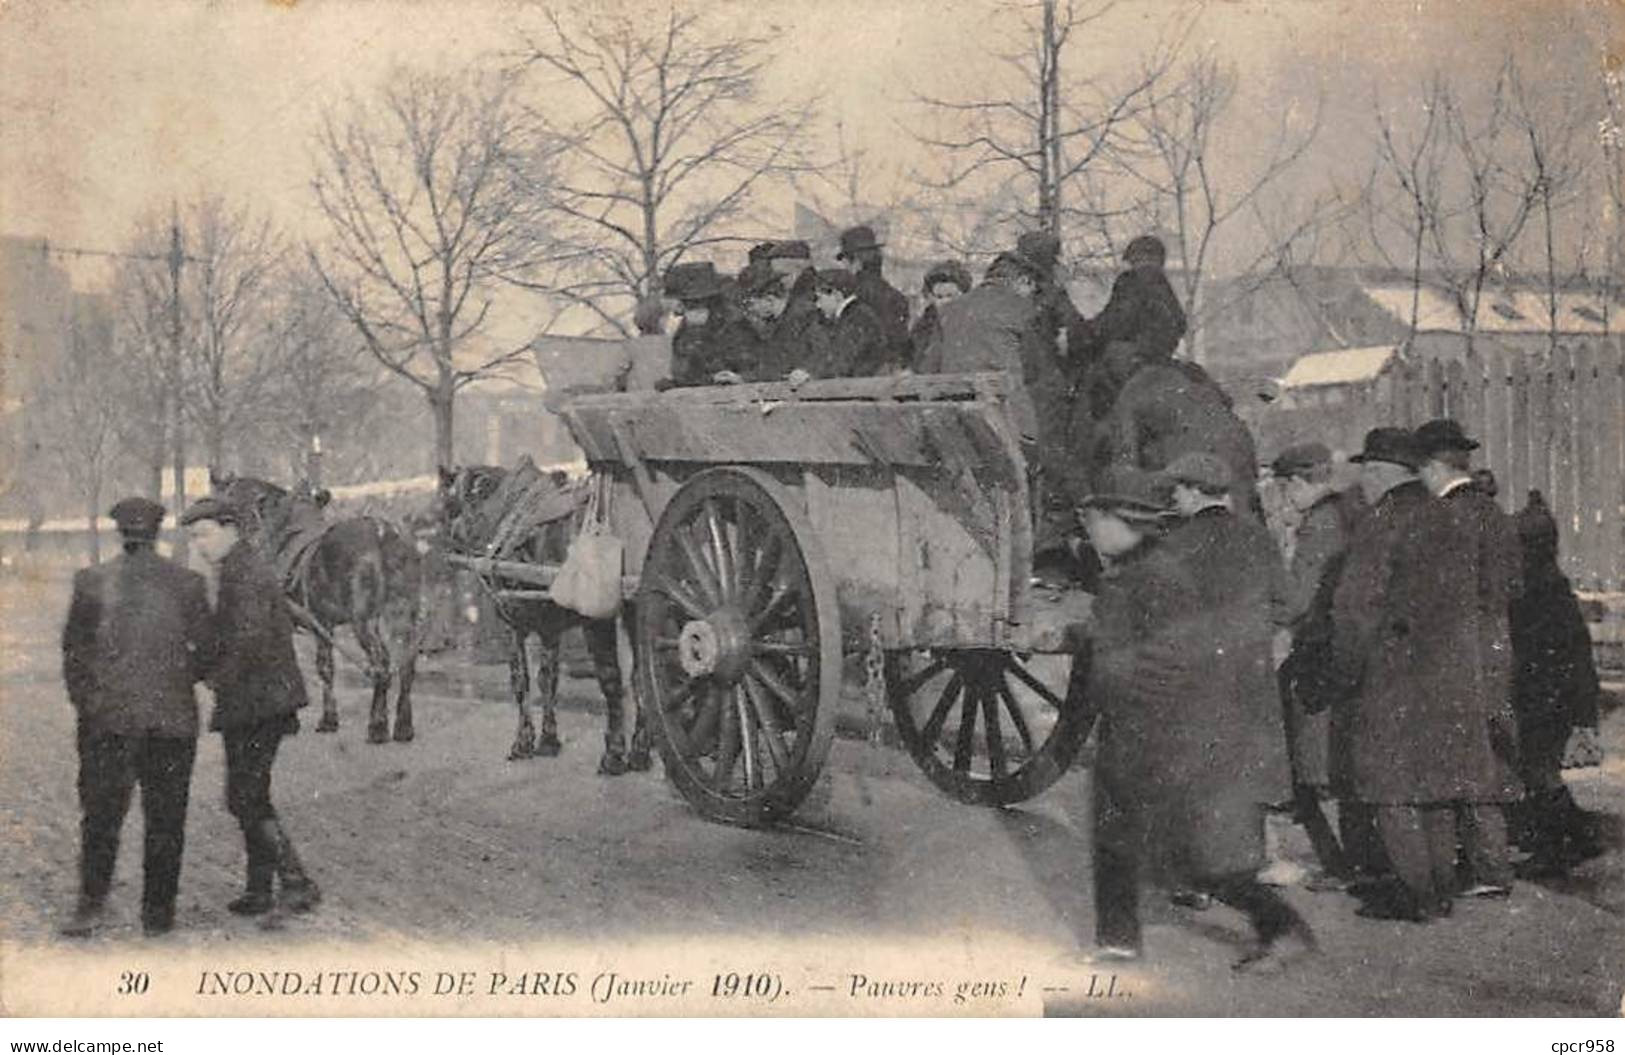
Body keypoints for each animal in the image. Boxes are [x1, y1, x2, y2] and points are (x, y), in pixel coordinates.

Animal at [209, 468, 422, 741]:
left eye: (230, 493)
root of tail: (383, 534)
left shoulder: (314, 623)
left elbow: (316, 668)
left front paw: (321, 719)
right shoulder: (323, 624)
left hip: (363, 621)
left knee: (381, 664)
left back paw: (377, 725)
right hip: (402, 613)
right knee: (406, 663)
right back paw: (403, 726)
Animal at [445, 461, 653, 773]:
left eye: (453, 502)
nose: (450, 535)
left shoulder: (511, 623)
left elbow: (521, 681)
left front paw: (522, 742)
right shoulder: (549, 629)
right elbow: (548, 680)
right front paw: (548, 740)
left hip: (598, 616)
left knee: (612, 679)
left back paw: (614, 754)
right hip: (633, 610)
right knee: (639, 676)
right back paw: (640, 751)